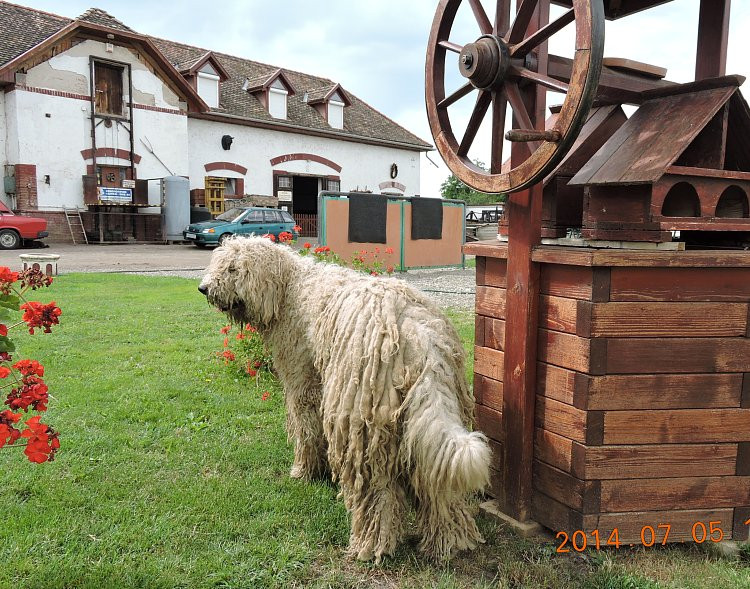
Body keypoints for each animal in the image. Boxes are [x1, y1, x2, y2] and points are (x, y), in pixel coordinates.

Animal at [200, 235, 494, 560]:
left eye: (233, 268)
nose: (203, 288)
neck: (291, 288)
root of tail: (419, 337)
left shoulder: (302, 378)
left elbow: (306, 428)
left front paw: (304, 471)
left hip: (364, 420)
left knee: (378, 491)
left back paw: (370, 545)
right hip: (429, 412)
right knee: (436, 484)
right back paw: (447, 543)